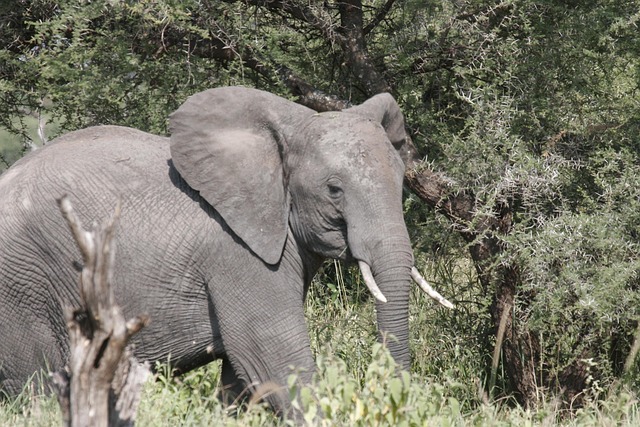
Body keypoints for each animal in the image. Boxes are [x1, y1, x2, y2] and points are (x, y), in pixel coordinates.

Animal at [0, 86, 451, 416]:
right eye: (334, 190)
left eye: (401, 180)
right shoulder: (237, 254)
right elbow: (271, 357)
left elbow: (241, 378)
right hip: (23, 285)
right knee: (38, 388)